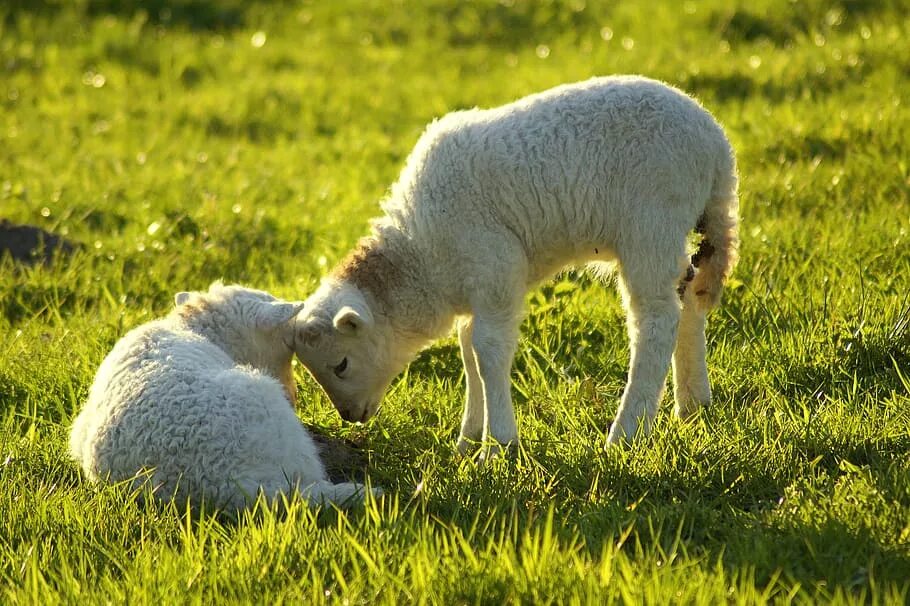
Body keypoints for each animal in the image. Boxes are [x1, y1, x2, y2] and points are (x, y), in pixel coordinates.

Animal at [296, 75, 736, 456]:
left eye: (341, 364)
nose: (350, 417)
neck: (420, 255)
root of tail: (716, 143)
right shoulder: (475, 287)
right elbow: (469, 352)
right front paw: (468, 439)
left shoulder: (495, 269)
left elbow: (487, 351)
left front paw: (498, 445)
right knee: (689, 298)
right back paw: (693, 403)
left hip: (651, 224)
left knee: (657, 322)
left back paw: (626, 433)